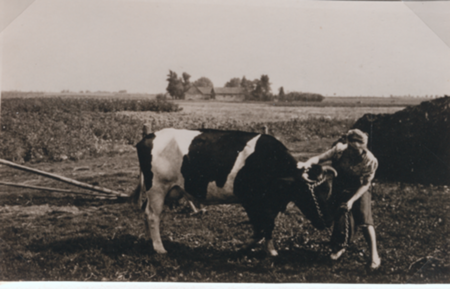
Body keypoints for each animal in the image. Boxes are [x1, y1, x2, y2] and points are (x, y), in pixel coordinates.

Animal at [132, 127, 336, 255]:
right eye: (311, 193)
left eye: (327, 189)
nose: (328, 221)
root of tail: (149, 136)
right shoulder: (250, 200)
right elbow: (260, 228)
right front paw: (244, 247)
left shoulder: (269, 204)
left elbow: (268, 225)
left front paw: (271, 250)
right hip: (157, 187)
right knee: (153, 215)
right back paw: (159, 248)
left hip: (169, 190)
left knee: (146, 212)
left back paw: (149, 242)